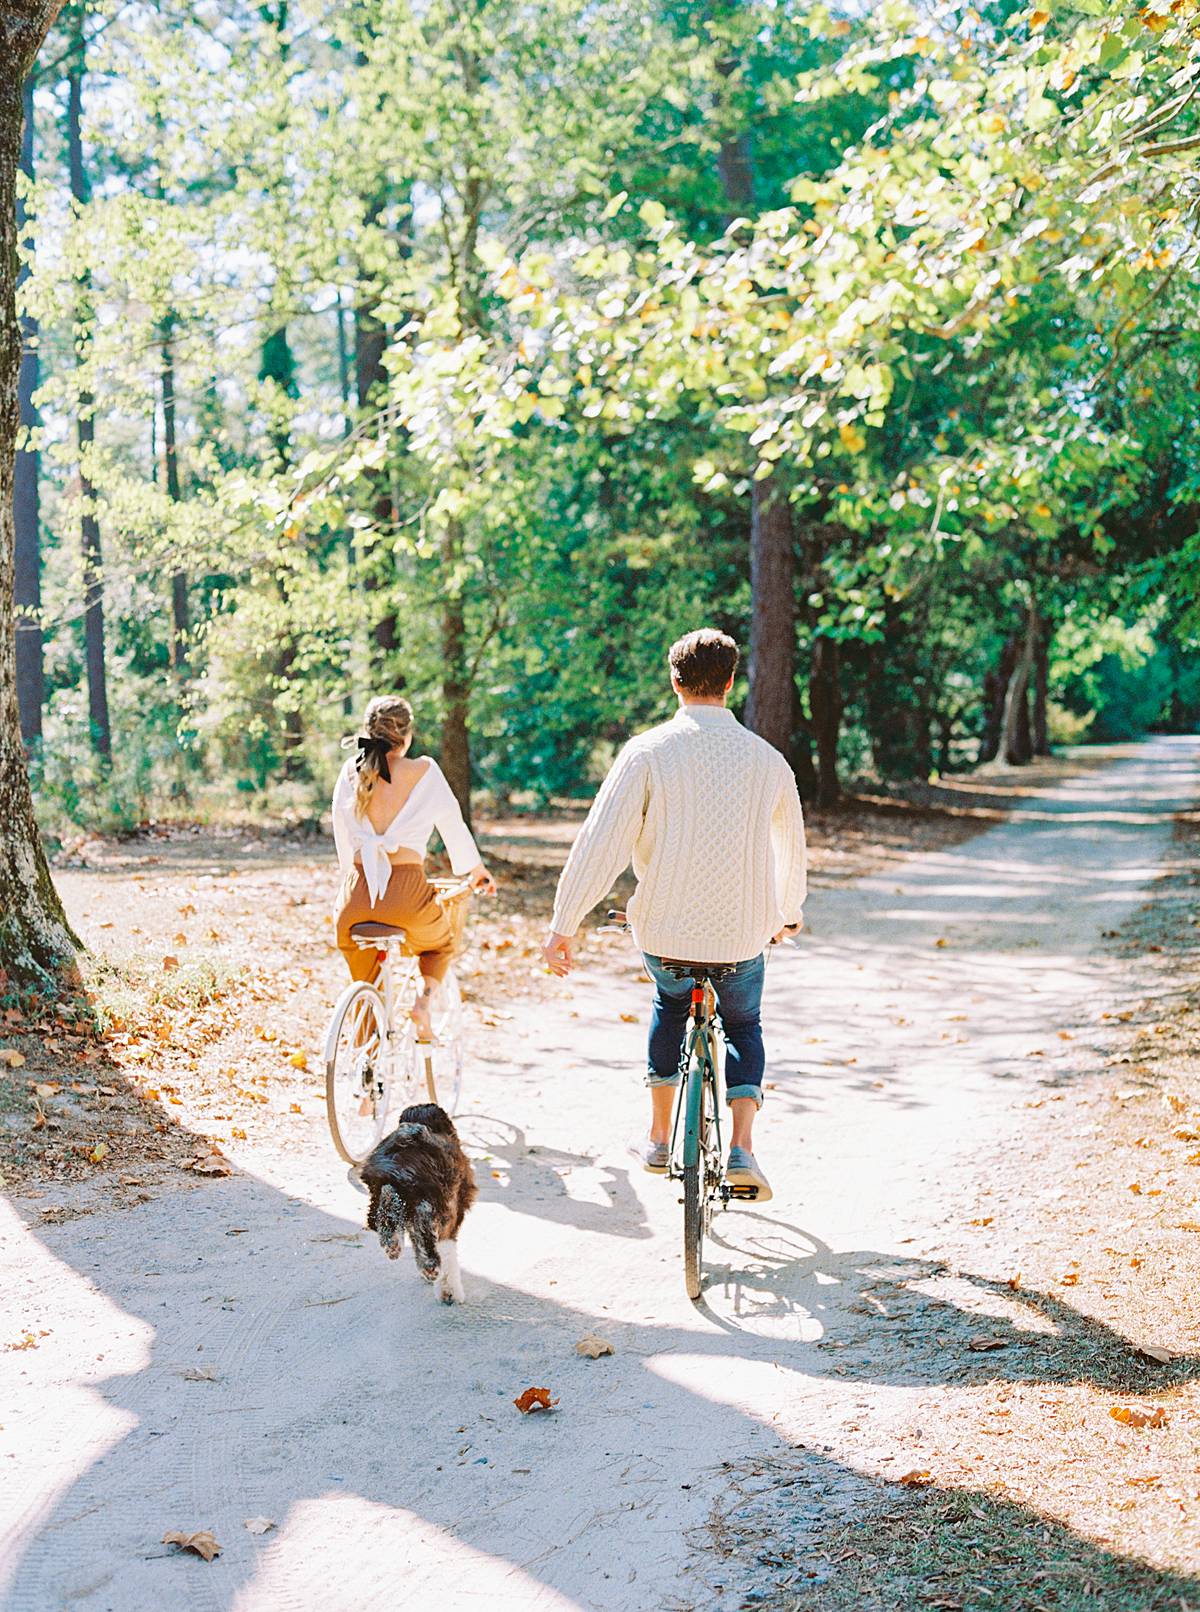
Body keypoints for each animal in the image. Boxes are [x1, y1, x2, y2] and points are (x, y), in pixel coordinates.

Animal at [361, 1102, 477, 1302]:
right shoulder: (451, 1209)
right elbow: (447, 1250)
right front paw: (449, 1291)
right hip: (437, 1200)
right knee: (424, 1228)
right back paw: (430, 1266)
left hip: (380, 1192)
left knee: (383, 1212)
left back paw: (392, 1241)